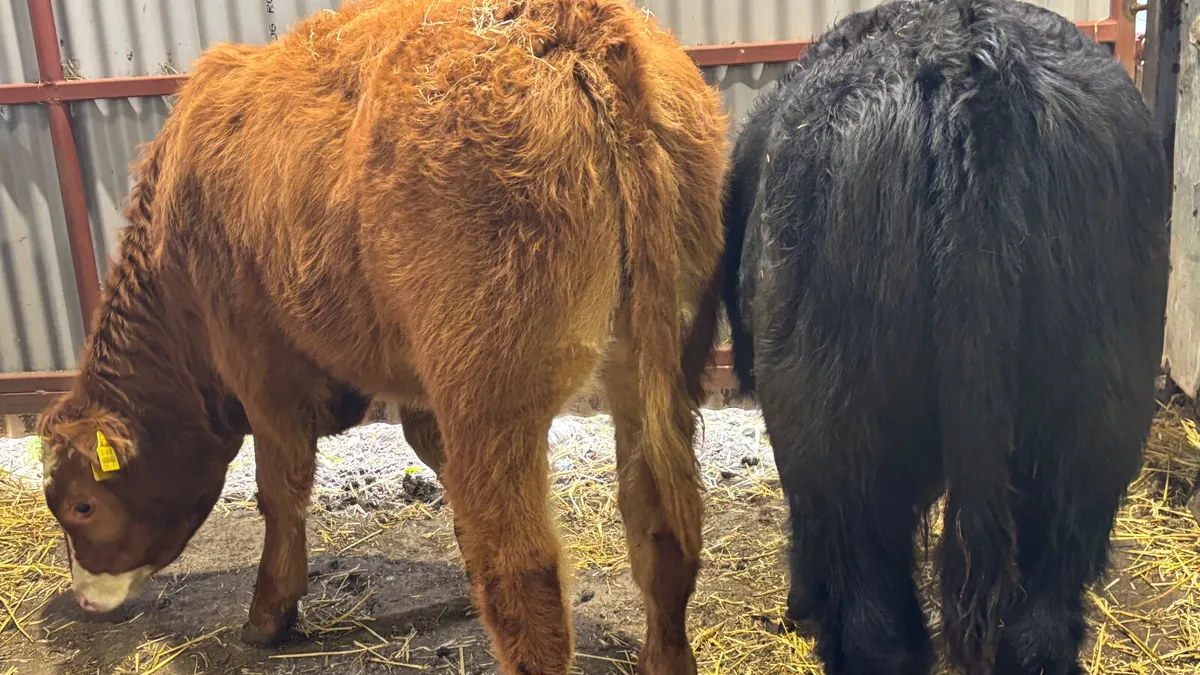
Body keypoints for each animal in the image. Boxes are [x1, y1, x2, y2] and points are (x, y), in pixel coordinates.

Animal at [35, 1, 729, 673]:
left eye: (82, 506)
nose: (86, 600)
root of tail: (576, 26)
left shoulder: (262, 371)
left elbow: (279, 491)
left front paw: (269, 614)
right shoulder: (415, 382)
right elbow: (427, 452)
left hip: (491, 398)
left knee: (524, 571)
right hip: (654, 367)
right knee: (662, 525)